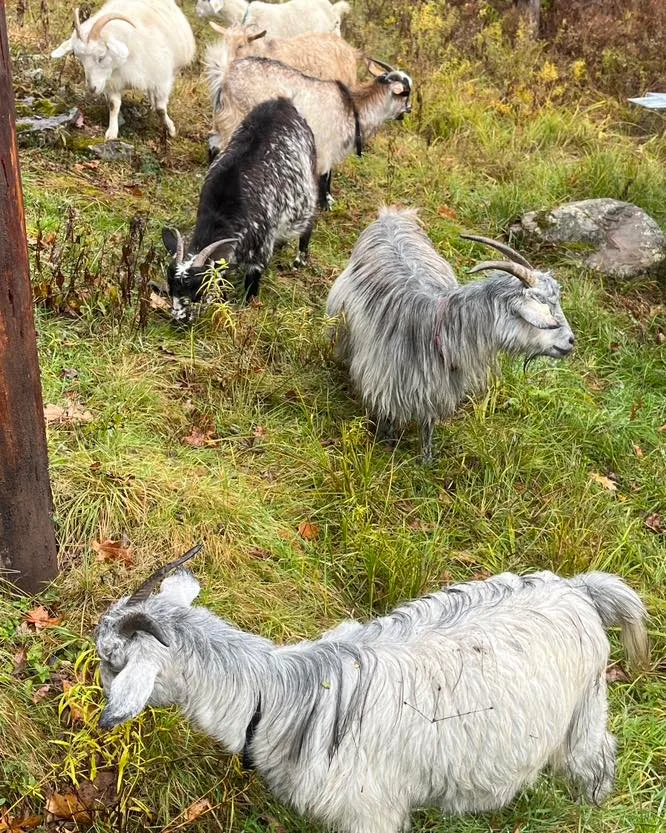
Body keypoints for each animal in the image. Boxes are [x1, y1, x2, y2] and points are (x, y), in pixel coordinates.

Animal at [51, 1, 195, 140]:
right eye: (81, 59)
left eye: (101, 57)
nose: (92, 89)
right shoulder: (112, 82)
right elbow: (113, 105)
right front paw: (112, 132)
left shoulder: (161, 79)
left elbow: (161, 109)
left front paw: (171, 129)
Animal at [96, 549, 648, 833]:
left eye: (109, 659)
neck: (282, 698)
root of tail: (580, 591)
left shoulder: (369, 811)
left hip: (583, 709)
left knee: (596, 757)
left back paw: (590, 806)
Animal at [162, 98, 317, 321]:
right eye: (170, 285)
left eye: (197, 287)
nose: (179, 319)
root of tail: (284, 102)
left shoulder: (260, 252)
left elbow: (251, 287)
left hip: (306, 192)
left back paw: (300, 260)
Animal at [208, 56, 411, 208]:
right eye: (407, 92)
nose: (409, 109)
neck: (352, 108)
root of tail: (225, 74)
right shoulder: (326, 147)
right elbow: (326, 176)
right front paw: (326, 203)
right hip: (236, 116)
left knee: (213, 144)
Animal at [326, 207, 576, 460]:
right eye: (544, 305)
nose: (571, 341)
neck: (436, 327)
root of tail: (392, 216)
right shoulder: (385, 382)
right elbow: (388, 419)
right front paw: (388, 445)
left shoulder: (435, 388)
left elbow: (427, 424)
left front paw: (427, 460)